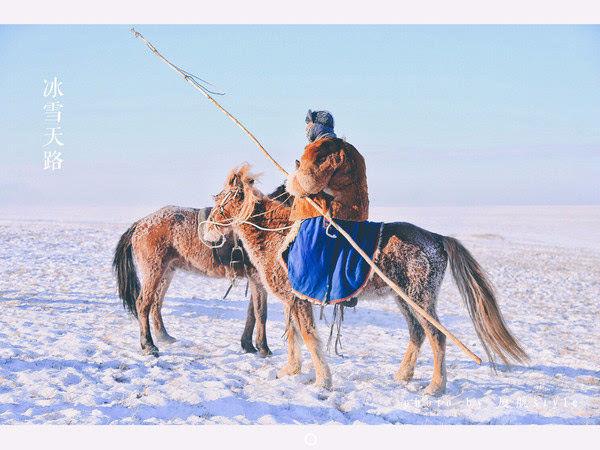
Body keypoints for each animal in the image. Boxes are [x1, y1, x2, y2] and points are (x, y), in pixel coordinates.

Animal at [112, 184, 290, 358]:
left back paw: (163, 336)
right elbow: (261, 313)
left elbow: (252, 313)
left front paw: (248, 345)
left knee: (156, 303)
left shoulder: (256, 280)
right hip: (153, 270)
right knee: (143, 304)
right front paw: (264, 348)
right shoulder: (257, 279)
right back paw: (149, 345)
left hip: (166, 271)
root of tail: (140, 224)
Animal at [204, 165, 528, 394]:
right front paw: (290, 371)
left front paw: (322, 381)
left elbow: (307, 336)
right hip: (403, 298)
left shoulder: (298, 300)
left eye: (220, 200)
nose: (207, 232)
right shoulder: (291, 301)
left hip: (420, 298)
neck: (279, 235)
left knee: (436, 336)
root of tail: (436, 238)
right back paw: (403, 375)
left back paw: (436, 386)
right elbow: (294, 335)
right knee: (417, 334)